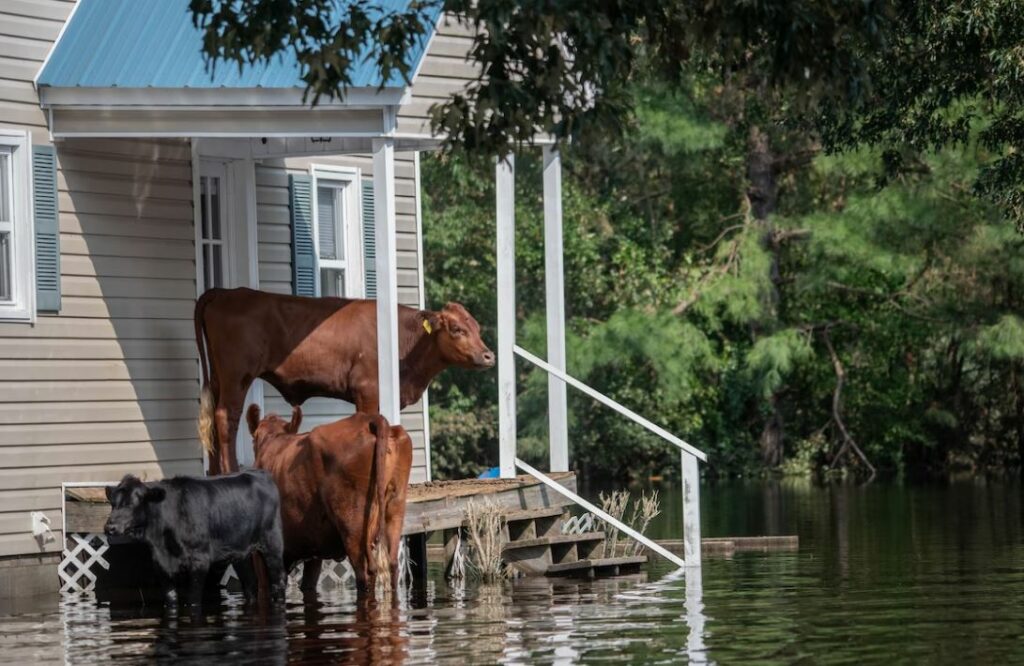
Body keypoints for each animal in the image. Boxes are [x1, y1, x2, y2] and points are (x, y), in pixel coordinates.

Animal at [103, 467, 284, 606]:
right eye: (112, 504)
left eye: (130, 504)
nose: (109, 527)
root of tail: (260, 473)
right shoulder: (161, 567)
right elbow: (171, 600)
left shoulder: (199, 561)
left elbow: (193, 600)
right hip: (240, 553)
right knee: (250, 584)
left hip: (272, 544)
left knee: (278, 582)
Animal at [196, 284, 495, 471]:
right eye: (456, 329)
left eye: (476, 327)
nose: (489, 356)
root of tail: (226, 292)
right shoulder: (367, 391)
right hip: (236, 375)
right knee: (226, 417)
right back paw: (230, 470)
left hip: (218, 376)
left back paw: (214, 472)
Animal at [245, 403, 409, 598]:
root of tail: (370, 419)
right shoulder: (313, 550)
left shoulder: (260, 552)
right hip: (394, 510)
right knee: (392, 565)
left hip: (353, 526)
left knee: (365, 573)